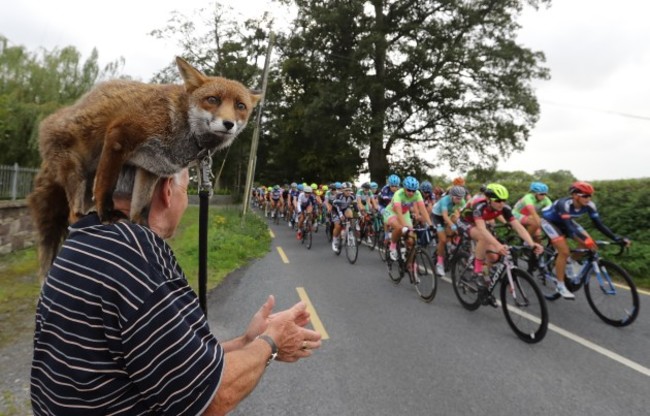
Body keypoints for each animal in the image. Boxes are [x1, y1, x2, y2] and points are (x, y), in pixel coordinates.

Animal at [27, 55, 260, 276]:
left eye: (240, 106)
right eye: (213, 99)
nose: (228, 124)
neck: (180, 127)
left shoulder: (150, 167)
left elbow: (141, 203)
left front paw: (142, 225)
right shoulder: (119, 137)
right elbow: (106, 186)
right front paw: (107, 215)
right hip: (77, 173)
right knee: (73, 216)